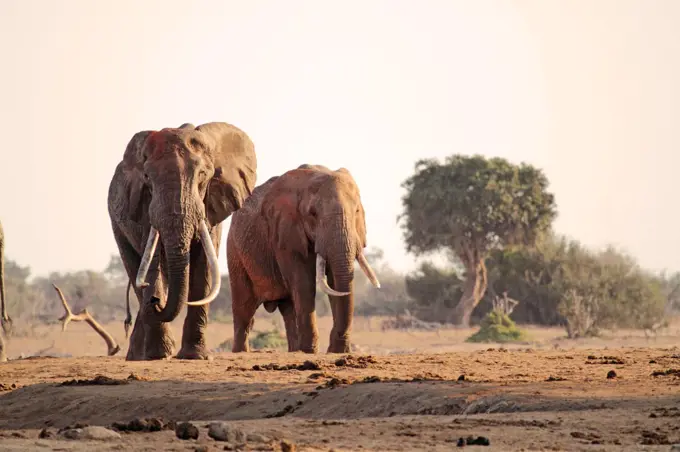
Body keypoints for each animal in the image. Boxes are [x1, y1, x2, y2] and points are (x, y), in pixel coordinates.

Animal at [109, 121, 258, 360]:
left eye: (203, 175)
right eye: (147, 178)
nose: (155, 302)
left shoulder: (211, 205)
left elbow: (204, 266)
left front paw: (196, 356)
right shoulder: (143, 207)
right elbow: (151, 264)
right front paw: (159, 355)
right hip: (116, 222)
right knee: (134, 267)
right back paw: (144, 354)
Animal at [226, 164, 380, 354]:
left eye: (357, 211)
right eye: (313, 214)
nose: (334, 347)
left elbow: (333, 281)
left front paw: (336, 351)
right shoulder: (286, 233)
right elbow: (303, 282)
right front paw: (310, 351)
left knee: (288, 309)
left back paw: (294, 350)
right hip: (234, 251)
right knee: (244, 310)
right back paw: (241, 352)